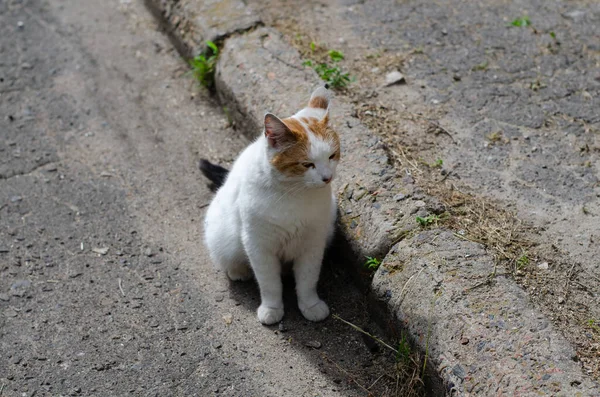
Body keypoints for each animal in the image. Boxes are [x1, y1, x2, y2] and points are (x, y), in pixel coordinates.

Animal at [202, 85, 340, 324]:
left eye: (332, 156)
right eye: (307, 164)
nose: (327, 177)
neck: (295, 194)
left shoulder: (313, 242)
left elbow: (308, 280)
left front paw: (310, 305)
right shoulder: (258, 246)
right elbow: (269, 283)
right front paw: (272, 309)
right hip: (222, 235)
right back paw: (239, 271)